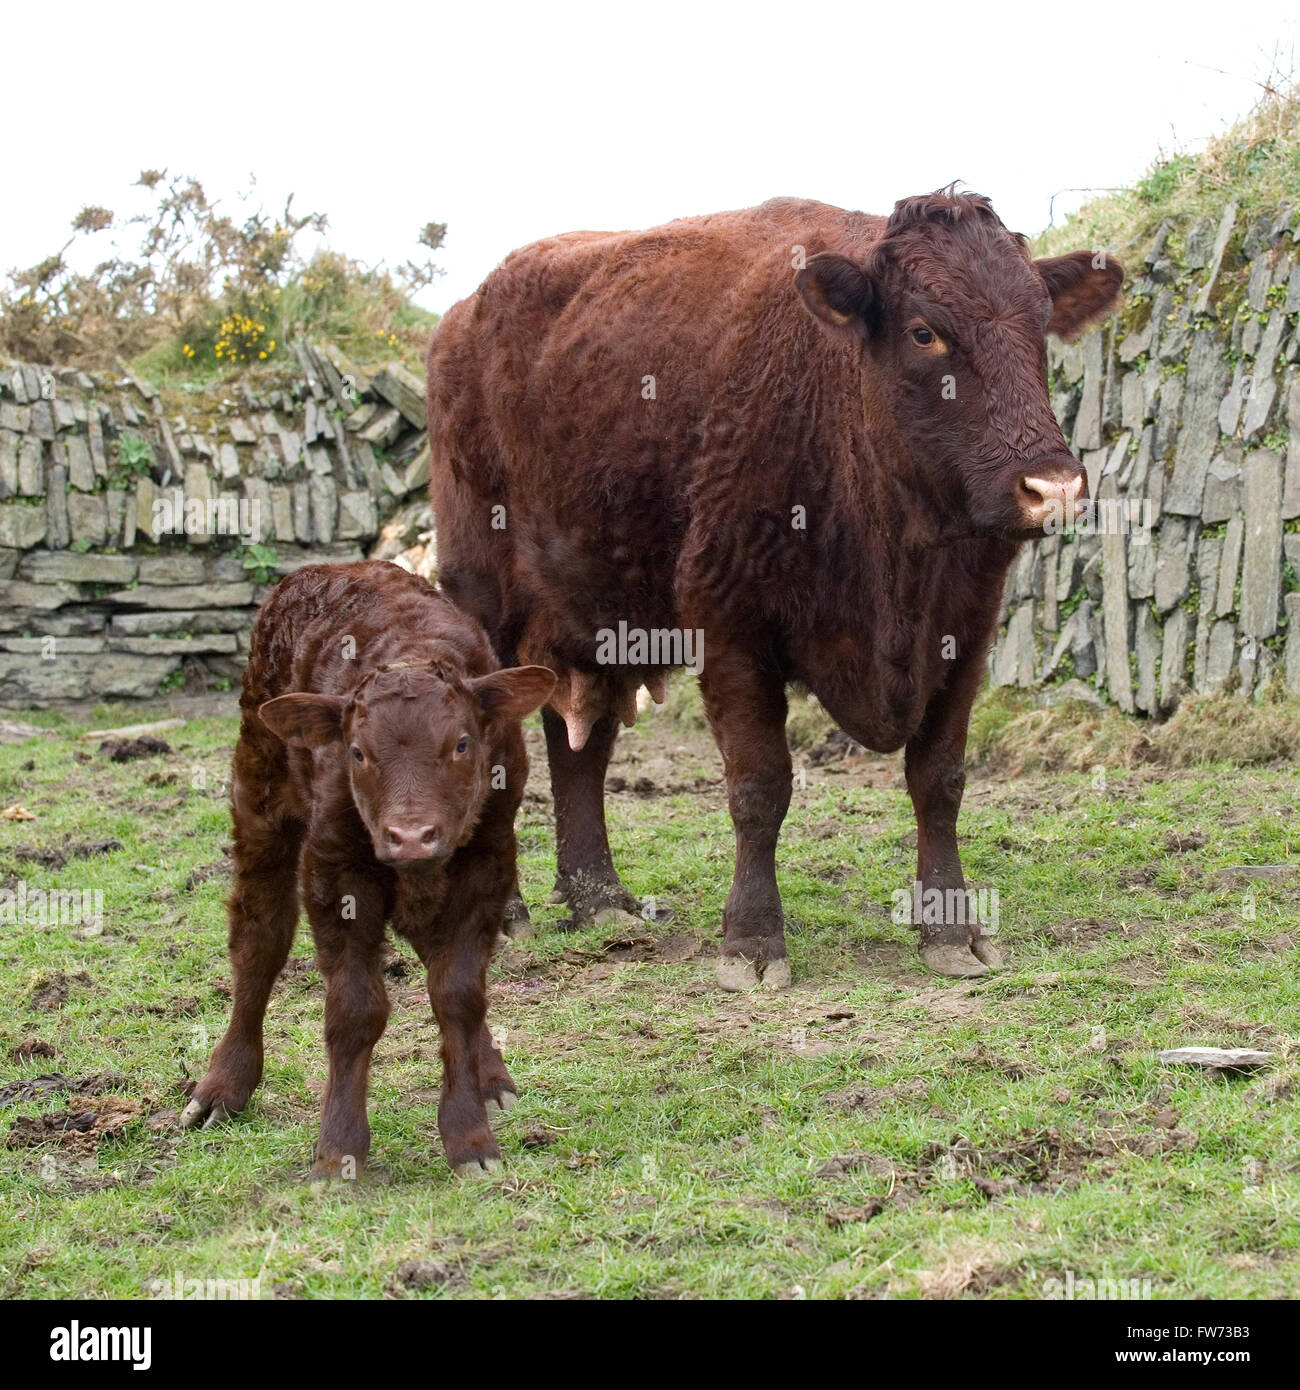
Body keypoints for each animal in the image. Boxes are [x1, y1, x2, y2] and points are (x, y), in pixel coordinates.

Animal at [179, 558, 553, 1178]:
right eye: (357, 753)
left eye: (462, 743)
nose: (410, 836)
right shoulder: (335, 869)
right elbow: (354, 1009)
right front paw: (339, 1152)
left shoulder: (488, 862)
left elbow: (458, 993)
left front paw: (470, 1138)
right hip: (258, 792)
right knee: (259, 939)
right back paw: (222, 1087)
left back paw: (491, 1074)